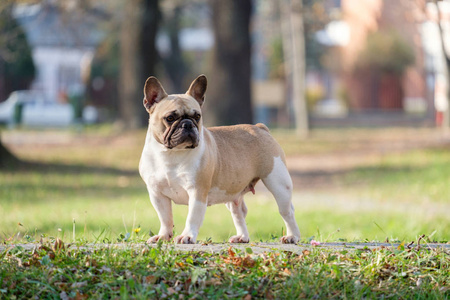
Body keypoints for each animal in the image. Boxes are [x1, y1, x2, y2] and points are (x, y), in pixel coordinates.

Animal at [139, 74, 300, 244]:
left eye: (197, 116)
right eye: (170, 118)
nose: (188, 124)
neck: (171, 154)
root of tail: (260, 127)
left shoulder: (197, 192)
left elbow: (193, 217)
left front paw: (187, 236)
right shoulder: (157, 194)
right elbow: (165, 217)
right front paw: (163, 236)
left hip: (278, 183)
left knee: (287, 210)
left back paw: (292, 236)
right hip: (232, 193)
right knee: (239, 212)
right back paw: (242, 237)